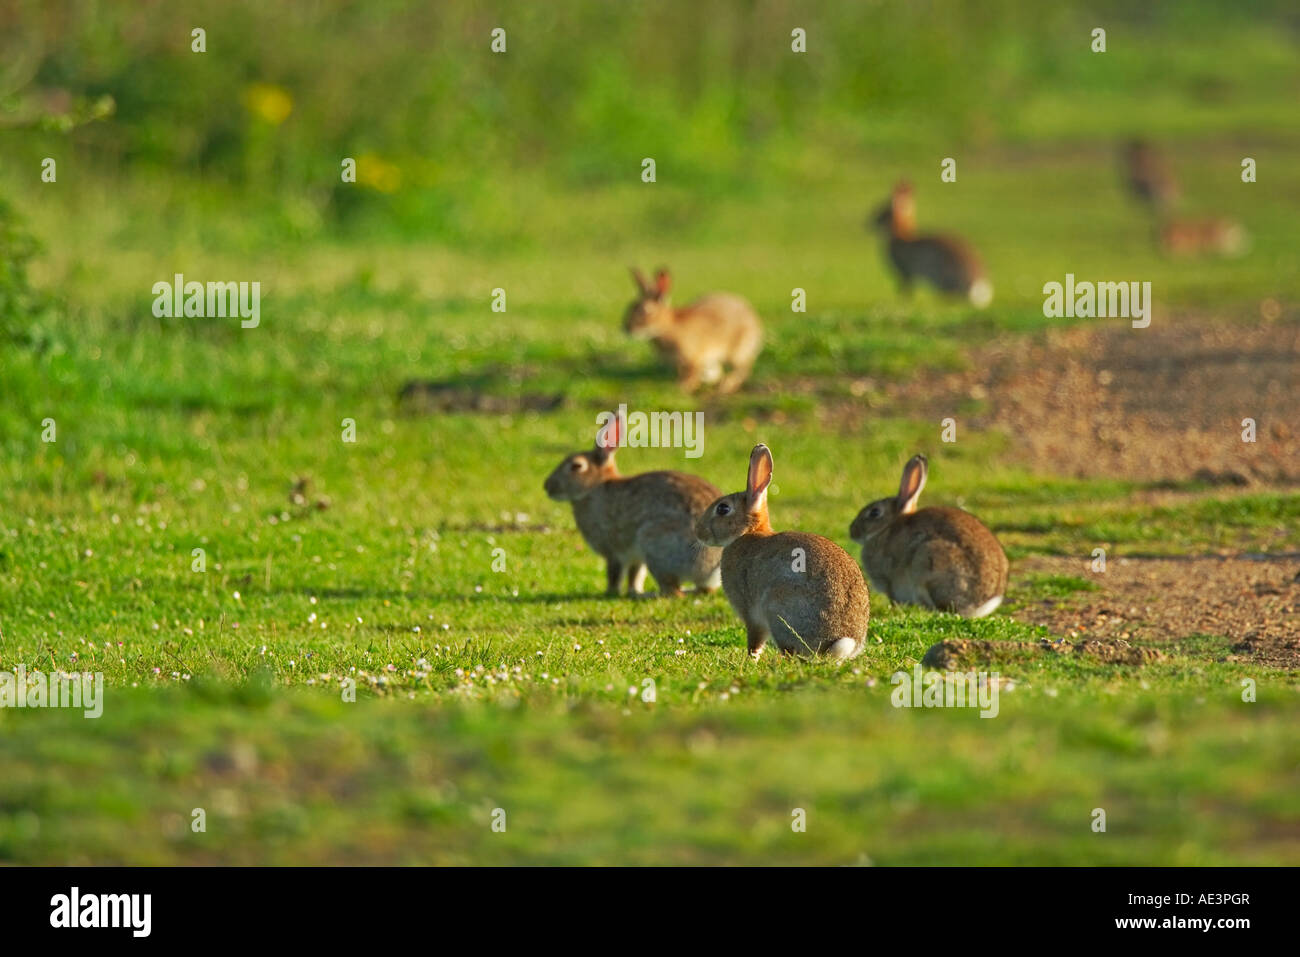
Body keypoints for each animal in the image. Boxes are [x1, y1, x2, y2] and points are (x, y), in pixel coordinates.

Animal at [544, 412, 723, 598]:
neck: (594, 487)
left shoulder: (613, 551)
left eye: (576, 466)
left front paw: (611, 592)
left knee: (672, 591)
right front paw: (633, 590)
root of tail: (714, 565)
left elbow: (615, 573)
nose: (547, 486)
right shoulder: (635, 557)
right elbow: (635, 574)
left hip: (654, 542)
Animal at [623, 267, 763, 393]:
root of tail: (754, 319)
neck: (667, 327)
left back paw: (725, 386)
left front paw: (682, 388)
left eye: (645, 311)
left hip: (738, 351)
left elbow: (691, 375)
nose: (626, 328)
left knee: (743, 368)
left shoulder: (693, 359)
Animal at [695, 444, 870, 661]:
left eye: (723, 509)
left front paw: (751, 658)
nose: (698, 532)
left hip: (778, 606)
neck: (747, 532)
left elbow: (755, 639)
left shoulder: (750, 611)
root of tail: (837, 641)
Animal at [849, 454, 1008, 618]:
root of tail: (979, 605)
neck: (886, 528)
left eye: (874, 512)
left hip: (927, 561)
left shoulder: (889, 578)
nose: (852, 531)